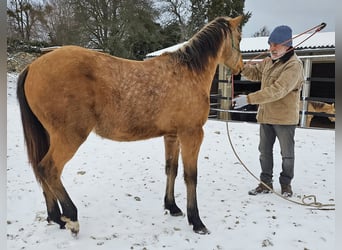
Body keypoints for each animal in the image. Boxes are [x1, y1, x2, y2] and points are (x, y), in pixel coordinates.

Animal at [16, 16, 243, 236]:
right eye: (239, 38)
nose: (240, 68)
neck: (188, 72)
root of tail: (32, 66)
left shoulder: (172, 135)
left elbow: (171, 169)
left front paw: (172, 207)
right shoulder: (192, 134)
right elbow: (191, 177)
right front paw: (196, 221)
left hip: (49, 135)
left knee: (40, 169)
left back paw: (55, 217)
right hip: (69, 137)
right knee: (49, 169)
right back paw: (71, 218)